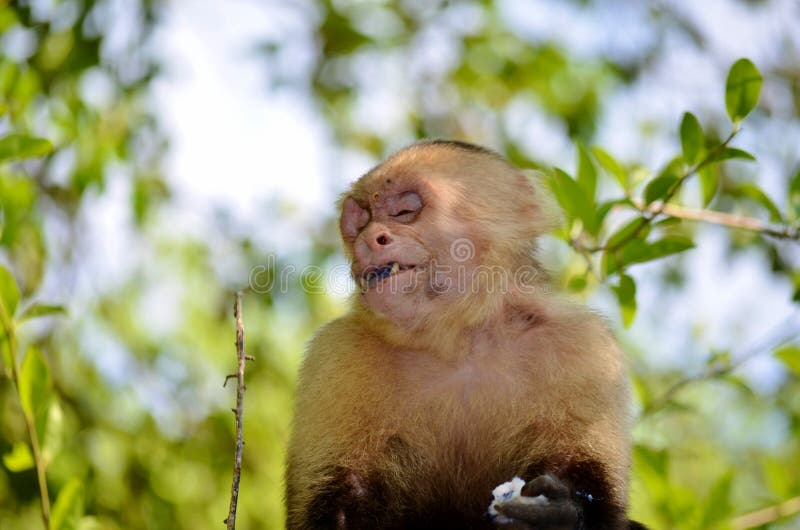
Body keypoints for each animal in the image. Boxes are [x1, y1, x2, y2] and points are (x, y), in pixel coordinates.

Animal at [284, 138, 648, 524]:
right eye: (362, 219)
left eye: (405, 211)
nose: (369, 239)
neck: (459, 340)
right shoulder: (336, 352)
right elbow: (341, 497)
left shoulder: (585, 347)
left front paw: (558, 512)